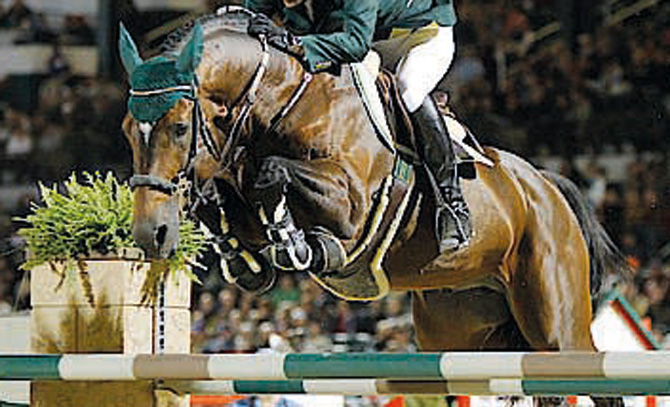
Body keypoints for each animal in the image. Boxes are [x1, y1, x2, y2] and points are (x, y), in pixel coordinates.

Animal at [121, 9, 627, 407]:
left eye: (180, 128)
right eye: (127, 130)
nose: (149, 234)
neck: (285, 100)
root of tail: (545, 185)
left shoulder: (352, 204)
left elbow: (272, 173)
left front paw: (302, 245)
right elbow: (225, 196)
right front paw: (246, 259)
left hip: (555, 322)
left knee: (594, 377)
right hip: (460, 332)